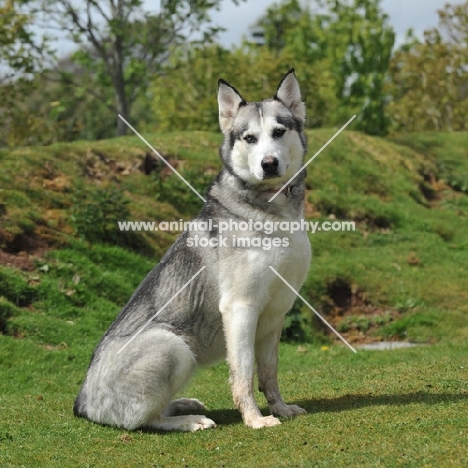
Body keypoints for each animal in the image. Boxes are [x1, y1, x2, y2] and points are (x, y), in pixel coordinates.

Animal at [73, 68, 310, 432]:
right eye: (249, 138)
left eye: (279, 132)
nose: (268, 164)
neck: (273, 210)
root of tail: (84, 402)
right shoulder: (240, 308)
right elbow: (243, 373)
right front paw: (254, 419)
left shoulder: (275, 313)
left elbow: (269, 373)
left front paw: (280, 408)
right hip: (174, 346)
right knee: (144, 420)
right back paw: (188, 421)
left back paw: (183, 404)